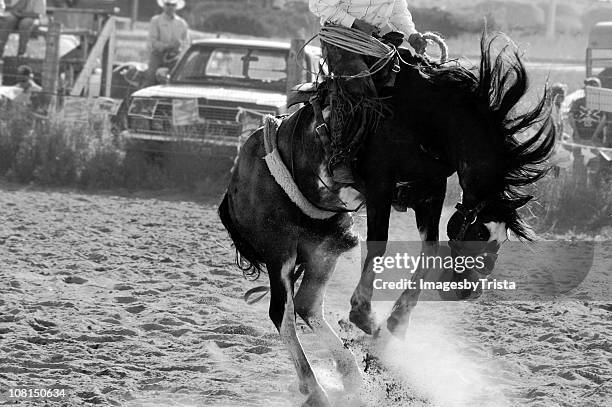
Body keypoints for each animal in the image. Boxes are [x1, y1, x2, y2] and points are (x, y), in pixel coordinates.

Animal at [216, 30, 556, 406]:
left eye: (502, 238)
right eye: (481, 233)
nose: (468, 290)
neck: (428, 118)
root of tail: (233, 186)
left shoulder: (430, 190)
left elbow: (430, 252)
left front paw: (393, 326)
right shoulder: (380, 185)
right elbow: (379, 245)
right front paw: (363, 315)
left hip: (323, 247)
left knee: (307, 305)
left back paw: (352, 372)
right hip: (281, 251)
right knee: (283, 313)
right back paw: (316, 388)